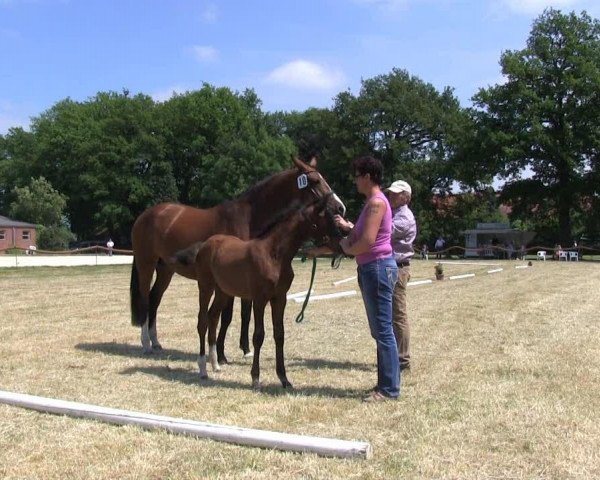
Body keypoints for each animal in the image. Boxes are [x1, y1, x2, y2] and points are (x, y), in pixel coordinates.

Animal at [131, 158, 346, 356]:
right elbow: (227, 316)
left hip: (165, 269)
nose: (340, 208)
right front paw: (221, 352)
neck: (248, 218)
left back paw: (156, 342)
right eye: (315, 181)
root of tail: (145, 215)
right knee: (145, 299)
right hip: (146, 264)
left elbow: (245, 313)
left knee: (155, 298)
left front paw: (246, 349)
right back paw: (146, 344)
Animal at [173, 193, 342, 388]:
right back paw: (203, 369)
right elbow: (258, 335)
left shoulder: (280, 298)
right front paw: (255, 378)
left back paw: (215, 364)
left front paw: (284, 379)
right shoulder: (259, 299)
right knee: (202, 321)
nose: (341, 243)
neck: (273, 255)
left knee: (213, 317)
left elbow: (279, 334)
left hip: (223, 292)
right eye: (326, 219)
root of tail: (204, 245)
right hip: (205, 286)